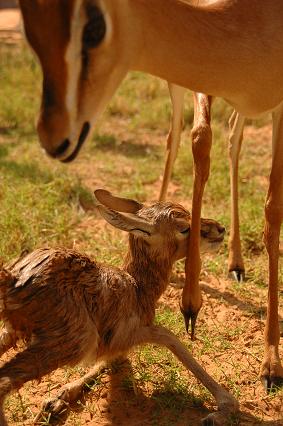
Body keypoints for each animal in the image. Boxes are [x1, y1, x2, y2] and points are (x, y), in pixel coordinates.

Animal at [0, 191, 239, 424]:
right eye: (184, 228)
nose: (220, 229)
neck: (137, 288)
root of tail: (15, 278)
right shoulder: (142, 332)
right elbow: (174, 340)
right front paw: (221, 411)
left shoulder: (113, 346)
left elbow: (105, 360)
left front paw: (56, 401)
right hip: (72, 343)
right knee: (3, 382)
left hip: (12, 332)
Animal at [19, 0, 283, 392]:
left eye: (94, 26)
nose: (55, 137)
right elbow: (199, 140)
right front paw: (190, 304)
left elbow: (272, 208)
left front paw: (271, 363)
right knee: (183, 136)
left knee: (233, 138)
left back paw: (235, 262)